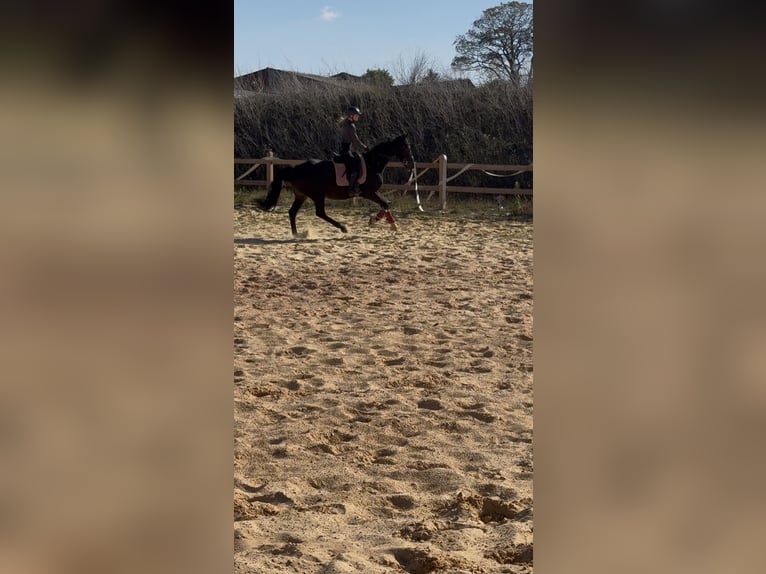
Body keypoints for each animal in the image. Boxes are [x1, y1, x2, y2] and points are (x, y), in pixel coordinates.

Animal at [257, 134, 415, 236]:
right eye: (405, 146)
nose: (411, 164)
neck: (372, 164)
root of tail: (295, 169)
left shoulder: (372, 193)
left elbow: (386, 204)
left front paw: (380, 222)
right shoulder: (368, 193)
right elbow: (385, 204)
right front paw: (384, 223)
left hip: (301, 195)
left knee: (292, 212)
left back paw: (296, 234)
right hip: (317, 195)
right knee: (320, 213)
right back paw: (343, 228)